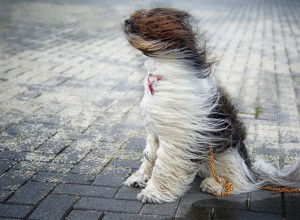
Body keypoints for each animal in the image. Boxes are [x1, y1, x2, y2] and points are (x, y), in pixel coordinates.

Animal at [122, 7, 300, 204]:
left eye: (146, 18)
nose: (126, 21)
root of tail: (250, 170)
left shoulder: (176, 138)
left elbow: (162, 164)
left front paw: (152, 193)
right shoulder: (154, 131)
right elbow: (149, 156)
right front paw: (139, 178)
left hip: (227, 155)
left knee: (239, 180)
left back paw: (215, 185)